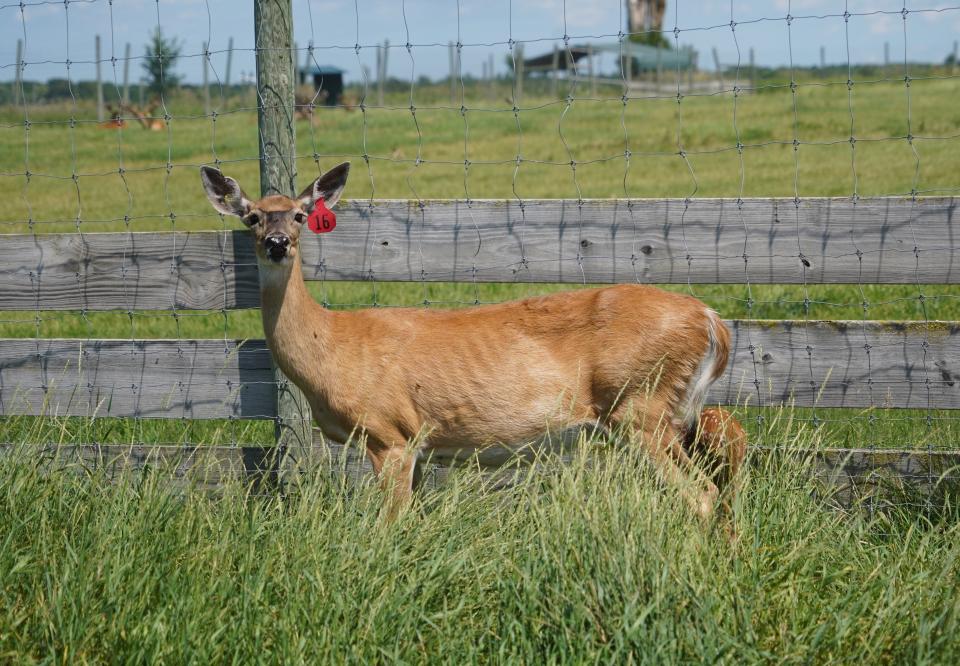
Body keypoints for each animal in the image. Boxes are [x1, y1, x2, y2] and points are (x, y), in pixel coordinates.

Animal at [199, 161, 748, 520]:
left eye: (297, 214)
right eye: (252, 216)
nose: (276, 243)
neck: (331, 348)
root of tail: (712, 320)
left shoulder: (389, 432)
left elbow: (390, 526)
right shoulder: (418, 445)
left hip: (640, 406)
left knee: (702, 493)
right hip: (666, 414)